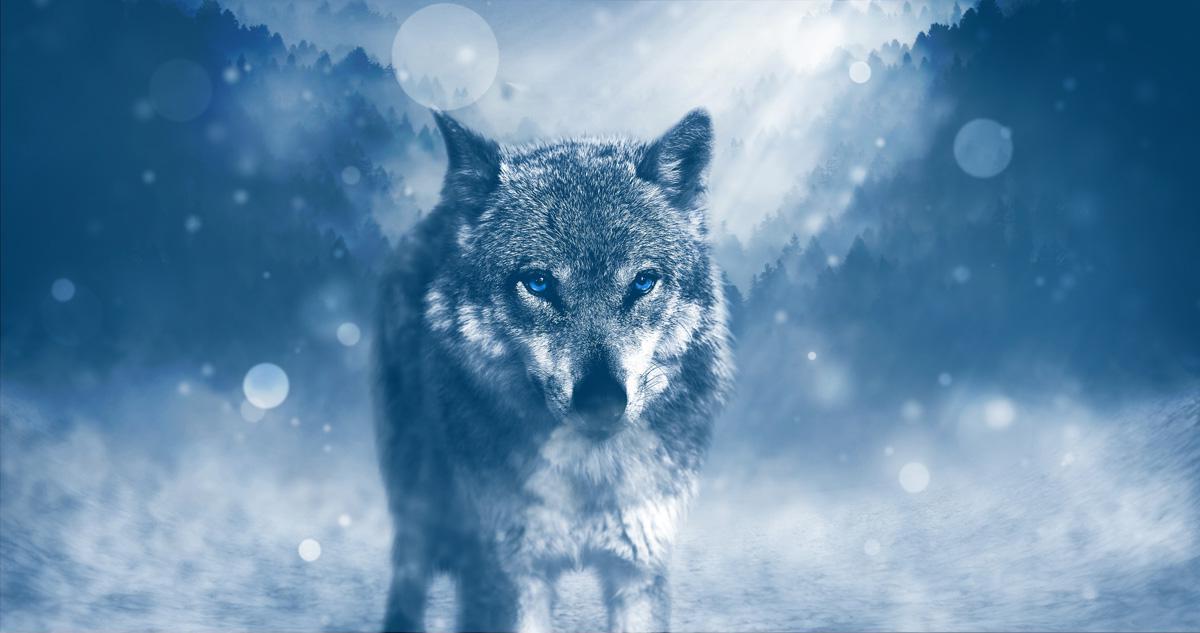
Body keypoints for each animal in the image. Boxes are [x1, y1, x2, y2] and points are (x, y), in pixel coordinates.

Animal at [373, 109, 733, 633]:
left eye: (643, 282)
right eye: (539, 283)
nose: (602, 401)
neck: (588, 477)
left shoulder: (639, 568)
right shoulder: (511, 573)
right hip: (418, 499)